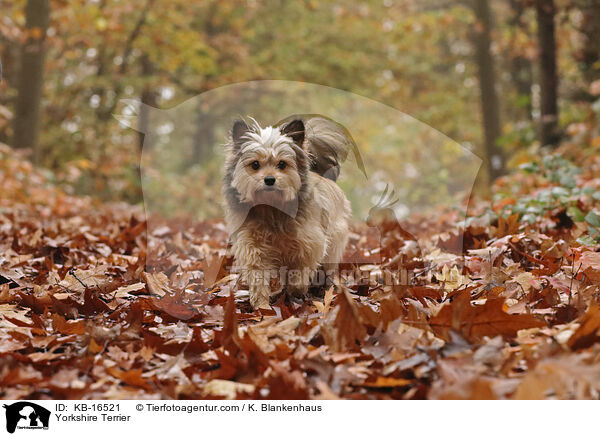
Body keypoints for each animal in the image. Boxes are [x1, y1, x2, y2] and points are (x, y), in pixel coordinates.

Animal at [223, 114, 354, 308]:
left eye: (282, 164)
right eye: (255, 164)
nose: (269, 179)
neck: (271, 207)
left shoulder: (309, 245)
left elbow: (299, 276)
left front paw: (295, 292)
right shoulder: (252, 247)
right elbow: (258, 279)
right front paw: (262, 306)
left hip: (334, 243)